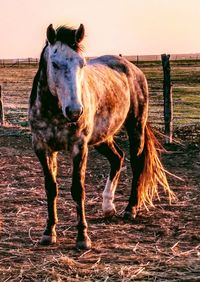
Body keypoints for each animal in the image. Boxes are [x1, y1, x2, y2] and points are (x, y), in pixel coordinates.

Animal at [28, 23, 174, 249]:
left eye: (82, 63)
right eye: (55, 63)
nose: (75, 111)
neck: (54, 111)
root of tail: (131, 68)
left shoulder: (79, 147)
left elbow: (78, 190)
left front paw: (82, 237)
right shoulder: (42, 148)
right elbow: (51, 188)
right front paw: (48, 232)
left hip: (135, 126)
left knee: (136, 163)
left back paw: (130, 209)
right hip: (102, 137)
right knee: (117, 158)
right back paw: (108, 206)